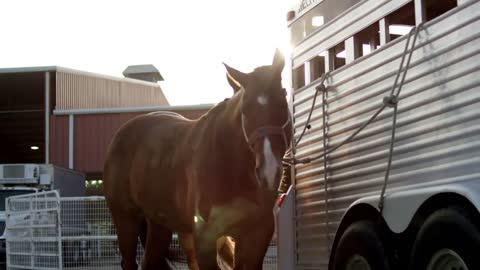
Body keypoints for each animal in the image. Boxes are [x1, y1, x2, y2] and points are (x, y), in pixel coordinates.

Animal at [103, 49, 290, 268]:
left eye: (283, 102)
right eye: (245, 110)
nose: (269, 172)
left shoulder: (256, 237)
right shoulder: (205, 238)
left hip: (159, 224)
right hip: (125, 218)